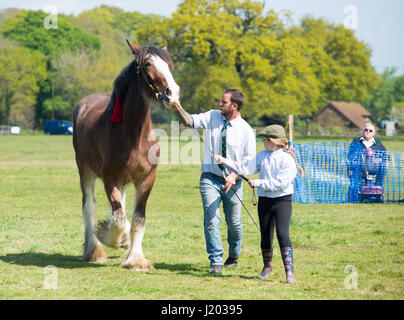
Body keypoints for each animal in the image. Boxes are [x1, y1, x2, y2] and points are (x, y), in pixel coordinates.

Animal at [74, 40, 185, 270]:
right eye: (148, 63)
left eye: (168, 65)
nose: (173, 93)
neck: (135, 135)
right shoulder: (110, 179)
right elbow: (118, 219)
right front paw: (109, 235)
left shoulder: (146, 179)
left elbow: (137, 219)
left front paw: (135, 258)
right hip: (85, 170)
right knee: (89, 207)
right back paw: (94, 250)